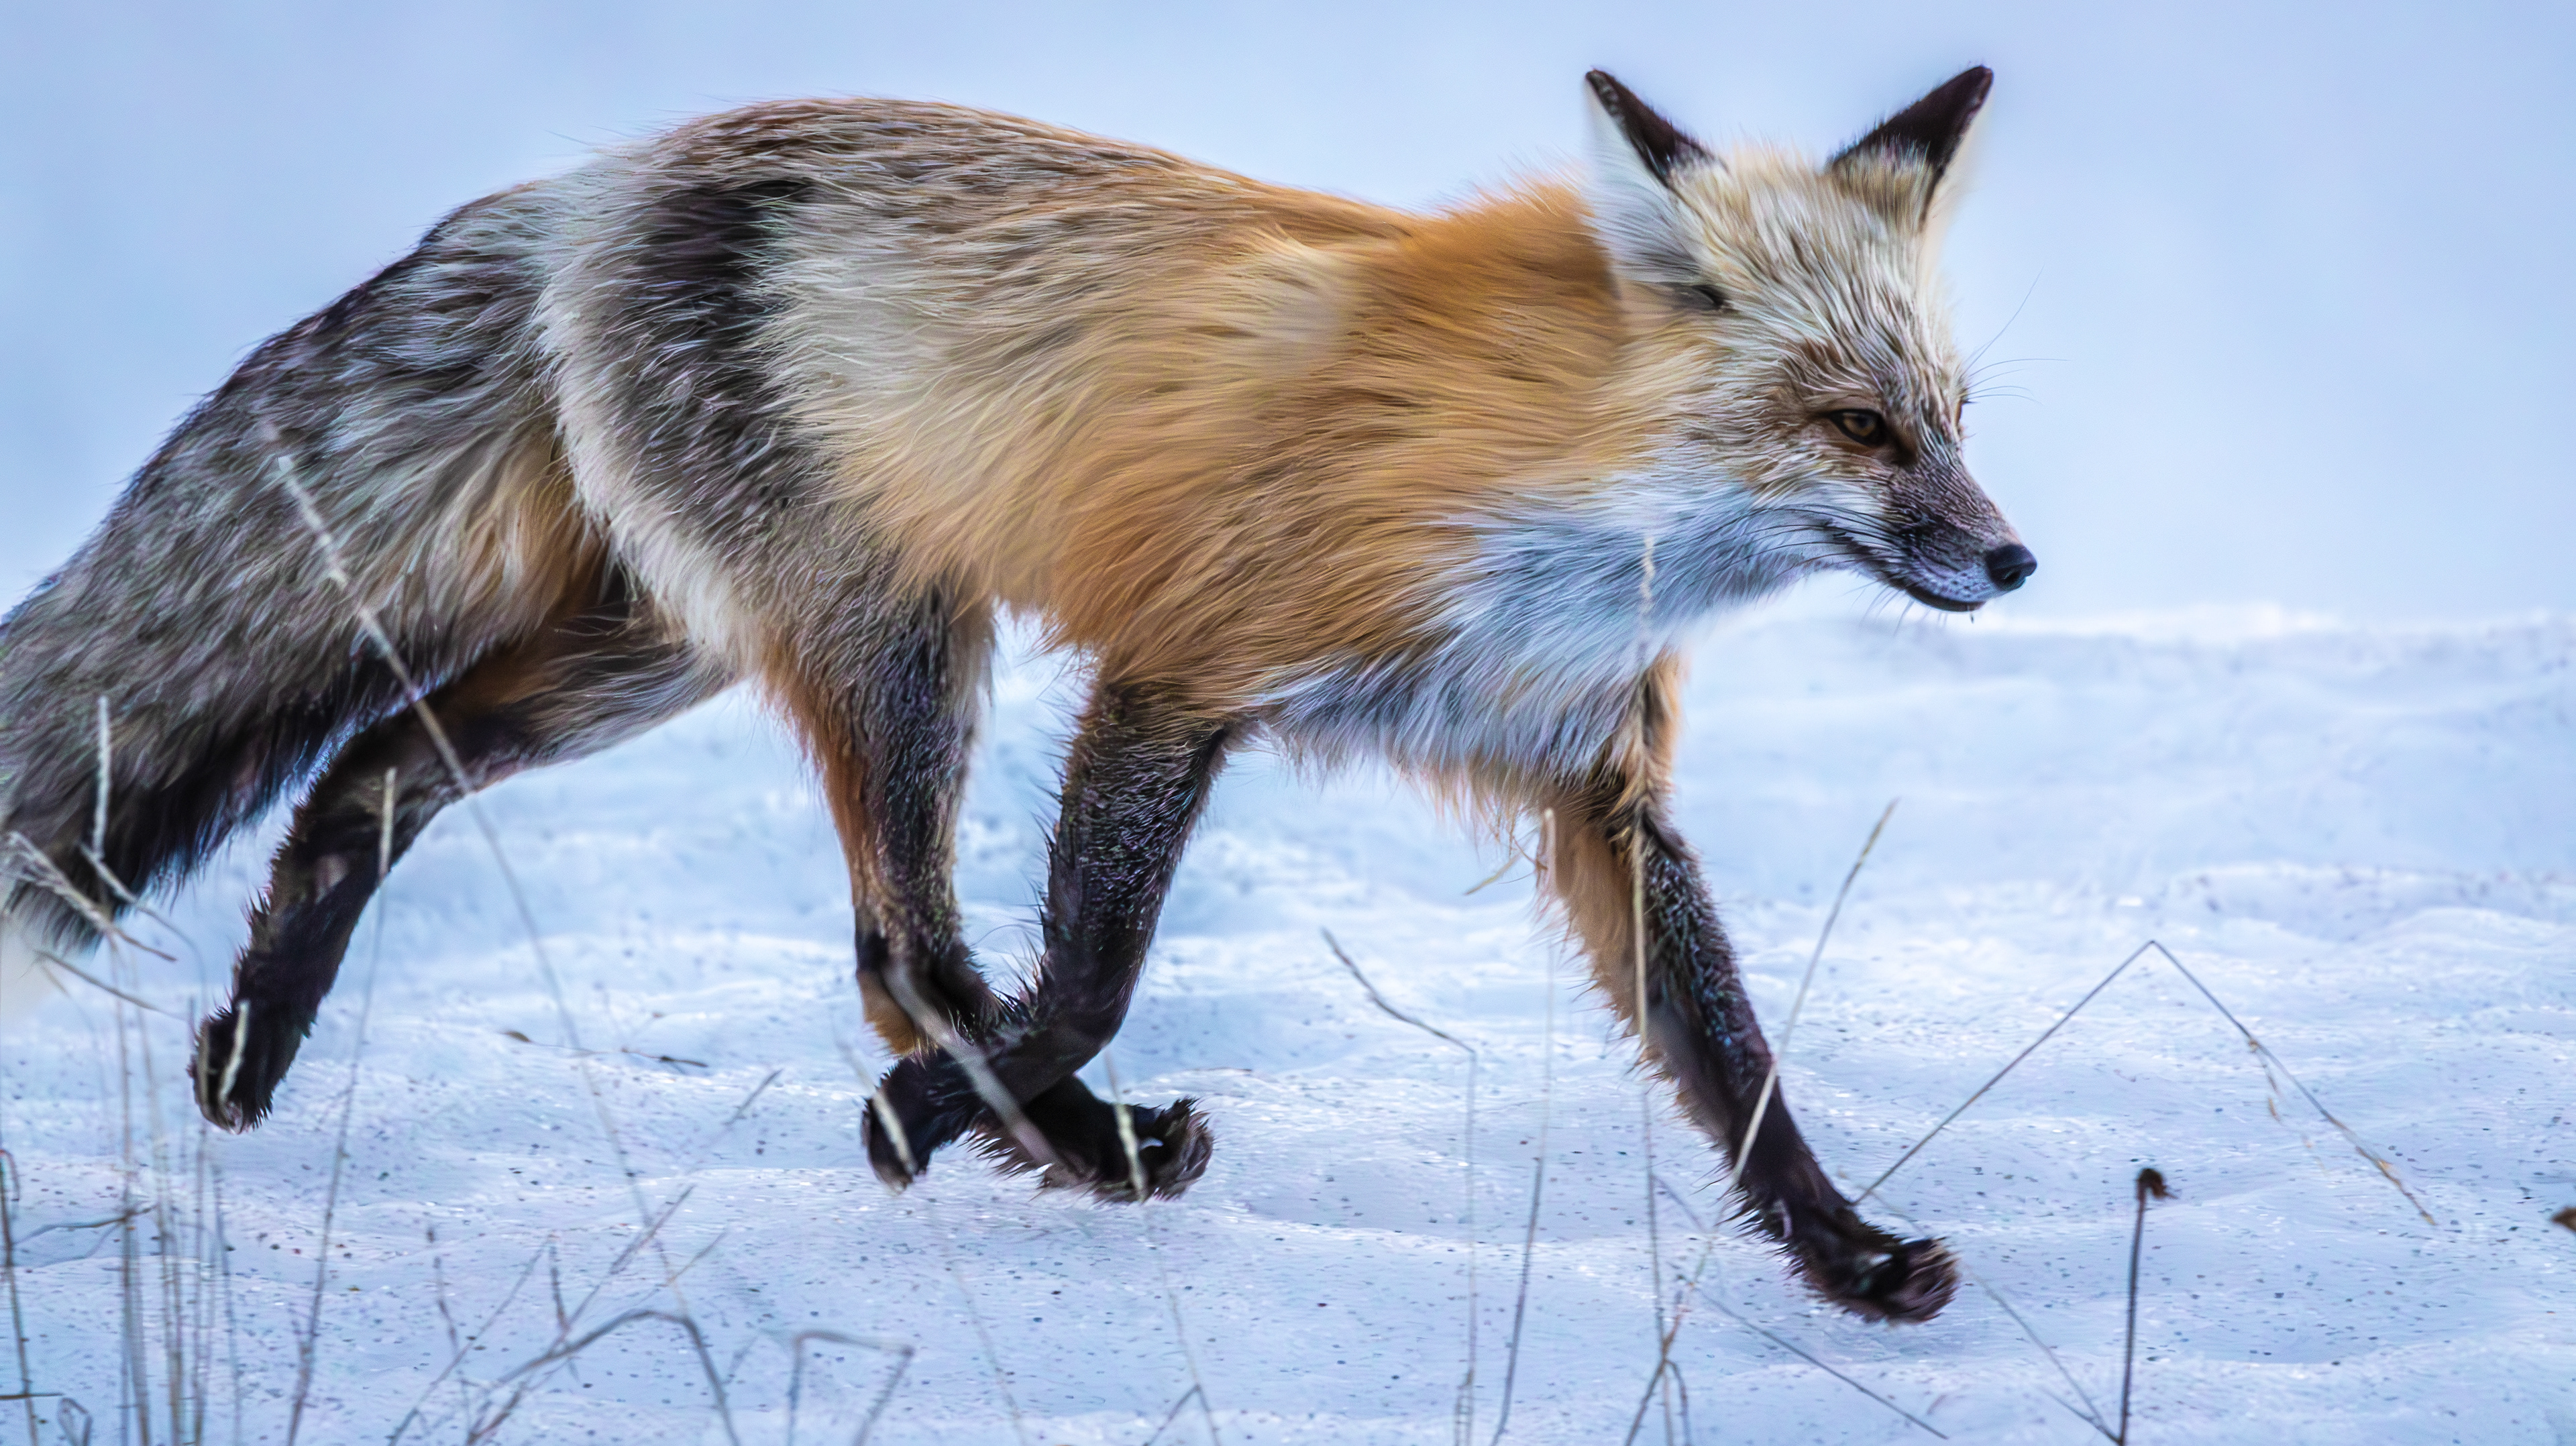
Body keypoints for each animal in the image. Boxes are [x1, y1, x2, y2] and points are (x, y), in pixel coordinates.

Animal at [0, 67, 2030, 1322]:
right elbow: (1096, 972)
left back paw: (257, 1038)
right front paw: (932, 1124)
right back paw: (1069, 1144)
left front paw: (1848, 1261)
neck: (1555, 499)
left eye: (1948, 415)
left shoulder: (1589, 774)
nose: (2011, 561)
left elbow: (1740, 1071)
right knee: (897, 948)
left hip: (673, 646)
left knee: (374, 761)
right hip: (895, 638)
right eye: (1853, 427)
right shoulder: (1178, 667)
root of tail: (592, 183)